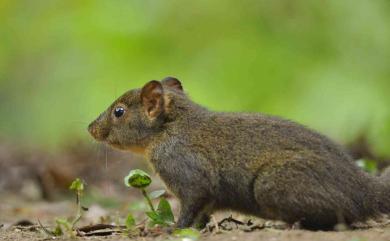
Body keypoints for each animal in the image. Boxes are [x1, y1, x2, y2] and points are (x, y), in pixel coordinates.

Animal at [88, 77, 390, 230]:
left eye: (119, 112)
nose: (90, 128)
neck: (171, 129)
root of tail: (364, 189)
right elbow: (202, 213)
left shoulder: (187, 170)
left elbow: (192, 205)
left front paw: (171, 228)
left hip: (273, 184)